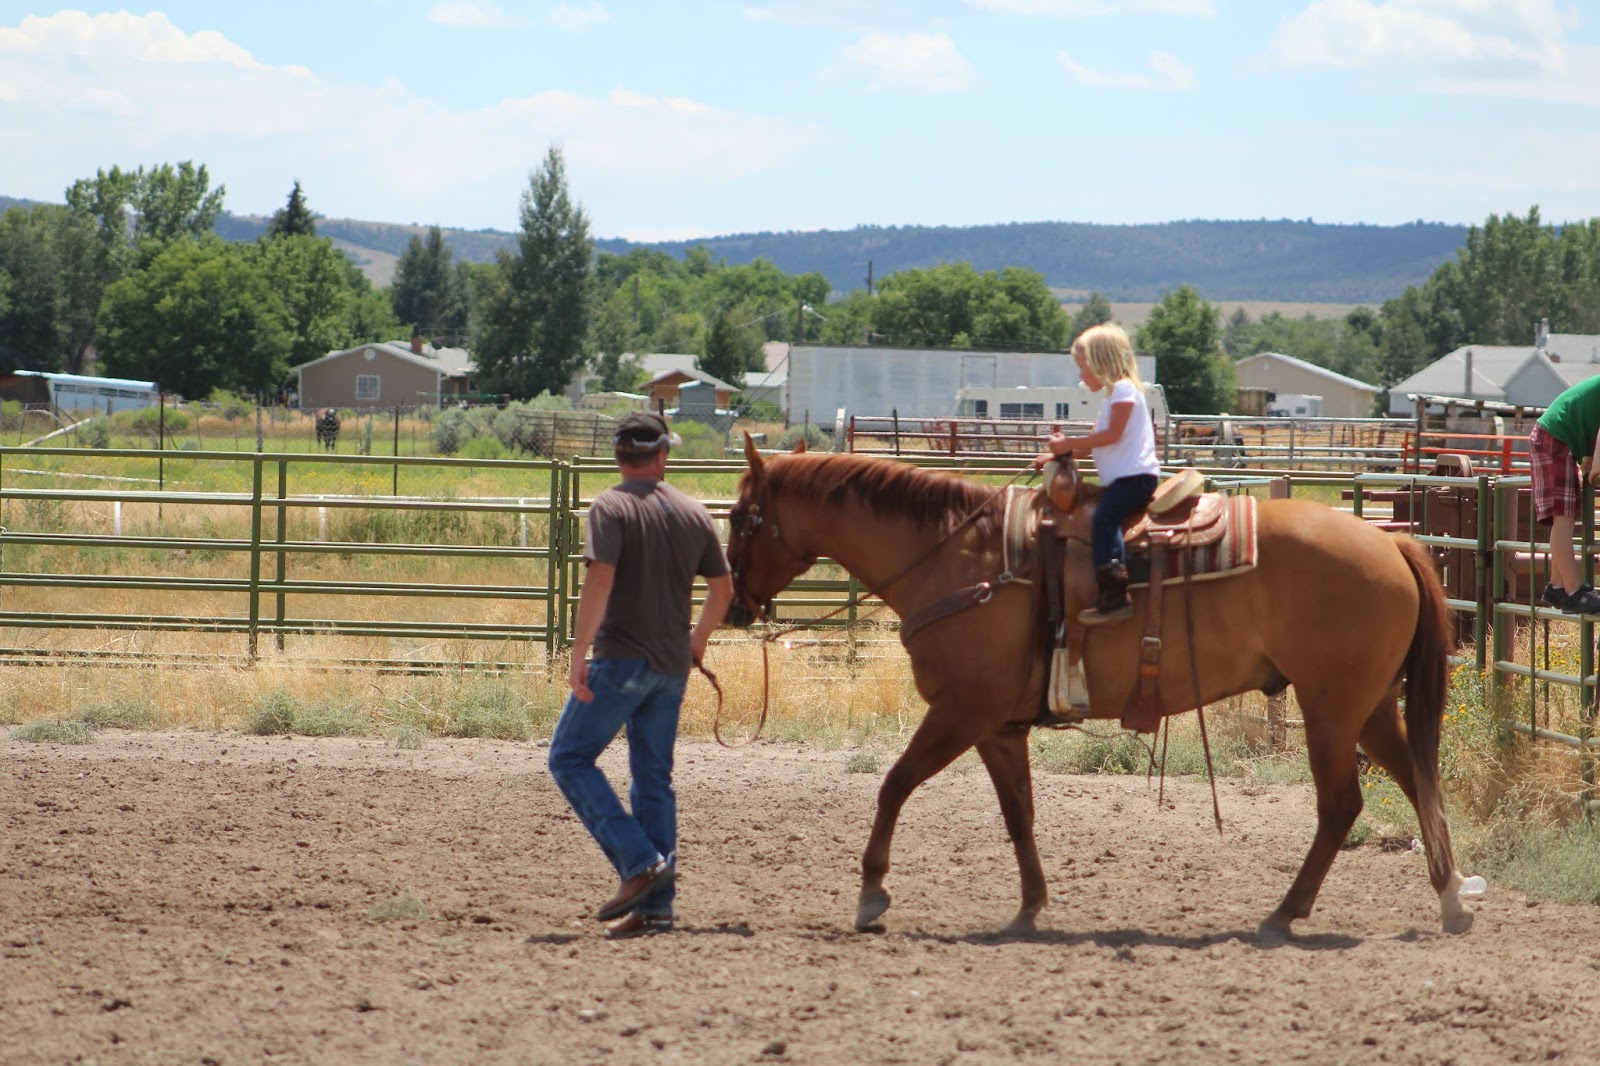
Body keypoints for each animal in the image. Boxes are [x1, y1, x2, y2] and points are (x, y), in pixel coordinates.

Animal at [724, 436, 1476, 940]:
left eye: (740, 518)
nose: (734, 606)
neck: (959, 559)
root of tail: (1390, 544)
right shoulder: (998, 726)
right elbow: (1018, 814)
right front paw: (1030, 906)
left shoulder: (960, 712)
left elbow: (893, 785)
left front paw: (871, 894)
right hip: (1368, 706)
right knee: (1417, 780)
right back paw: (1451, 901)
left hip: (1330, 709)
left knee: (1342, 805)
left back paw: (1283, 914)